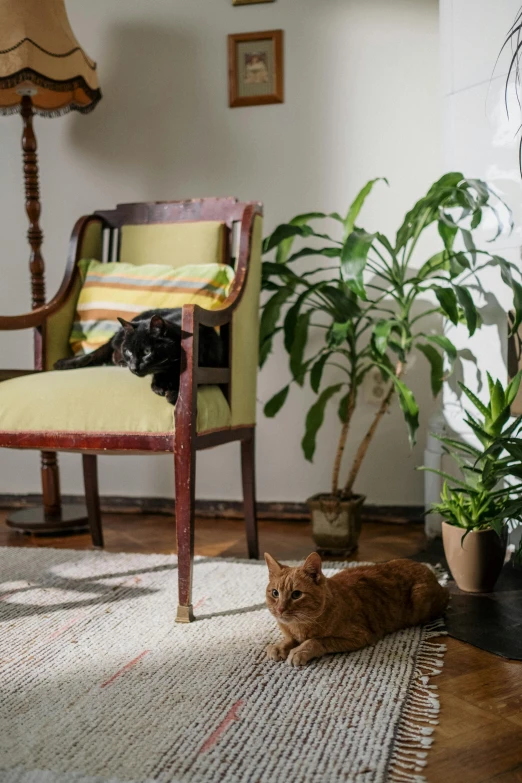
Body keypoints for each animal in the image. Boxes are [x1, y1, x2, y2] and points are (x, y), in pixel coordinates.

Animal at [54, 308, 223, 404]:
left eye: (147, 352)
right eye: (129, 352)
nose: (134, 367)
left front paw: (173, 393)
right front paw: (160, 386)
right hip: (118, 339)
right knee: (112, 350)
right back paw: (121, 362)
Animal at [264, 552, 446, 668]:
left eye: (296, 594)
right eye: (275, 593)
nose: (280, 609)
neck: (299, 626)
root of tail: (428, 569)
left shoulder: (359, 636)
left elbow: (318, 640)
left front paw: (300, 650)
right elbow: (289, 639)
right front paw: (281, 646)